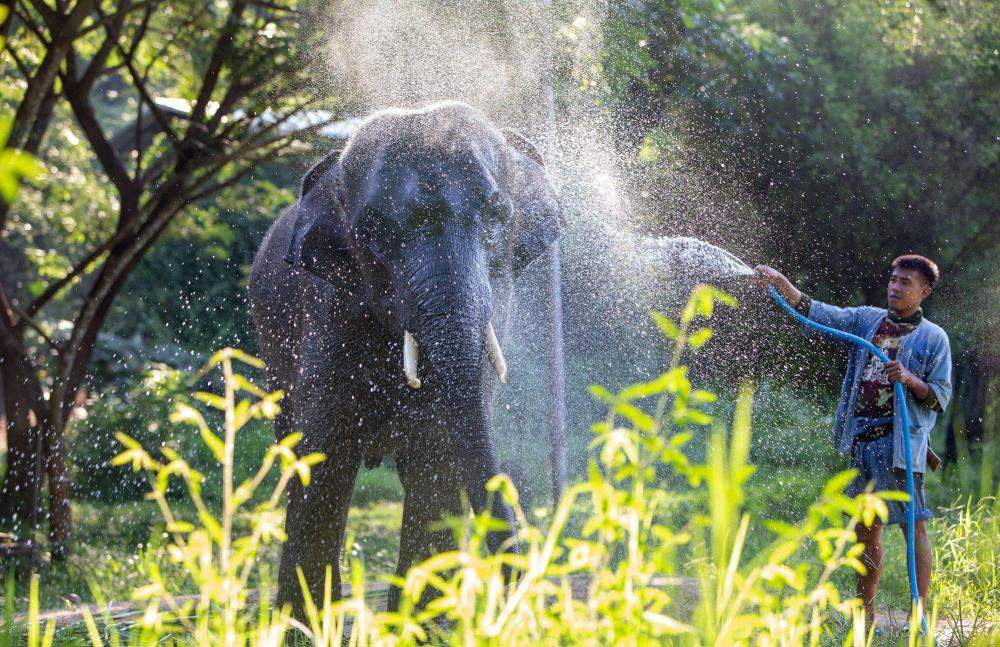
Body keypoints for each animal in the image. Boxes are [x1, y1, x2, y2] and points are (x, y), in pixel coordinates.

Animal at [249, 102, 564, 616]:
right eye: (374, 233)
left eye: (497, 216)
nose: (519, 596)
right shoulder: (328, 313)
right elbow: (323, 460)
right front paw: (305, 622)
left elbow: (437, 460)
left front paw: (422, 622)